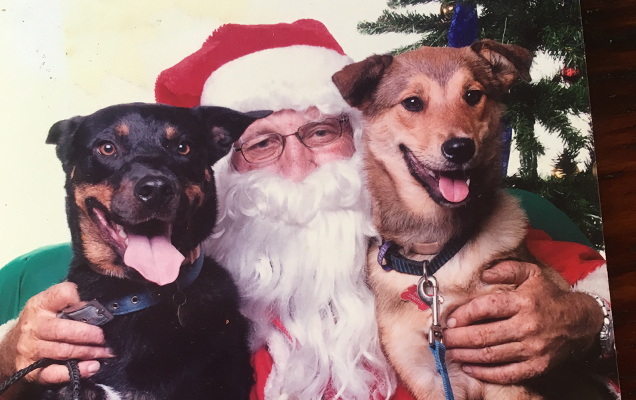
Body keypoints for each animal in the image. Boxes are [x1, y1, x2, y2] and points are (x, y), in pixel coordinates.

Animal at [332, 40, 612, 400]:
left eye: (472, 95)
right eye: (412, 102)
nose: (460, 148)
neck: (436, 251)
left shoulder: (505, 372)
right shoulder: (430, 376)